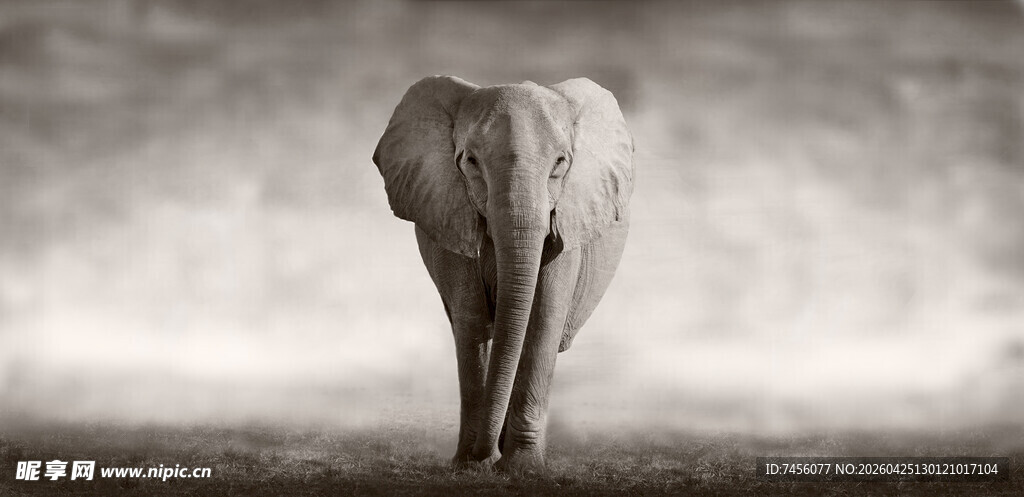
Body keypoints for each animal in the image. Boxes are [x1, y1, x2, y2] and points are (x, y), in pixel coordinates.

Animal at [372, 75, 633, 471]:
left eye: (560, 162)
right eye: (471, 161)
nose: (487, 455)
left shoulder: (568, 218)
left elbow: (543, 318)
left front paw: (521, 469)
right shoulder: (449, 213)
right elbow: (471, 318)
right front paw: (471, 465)